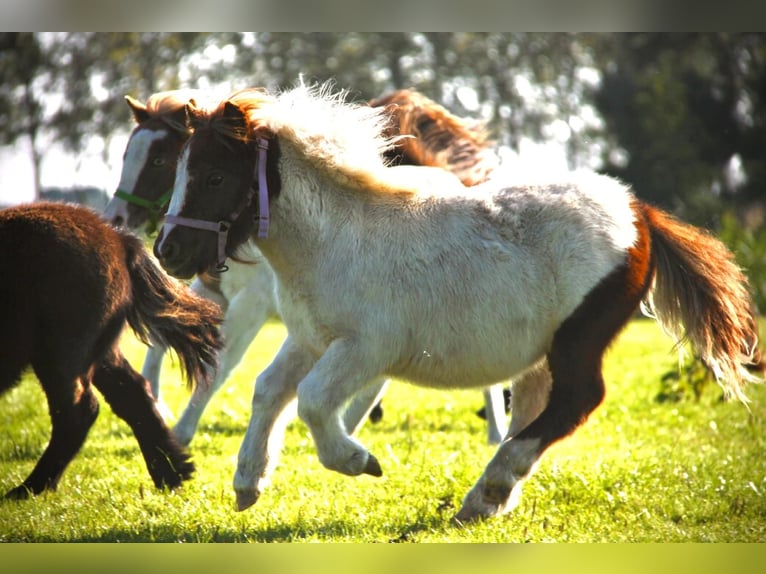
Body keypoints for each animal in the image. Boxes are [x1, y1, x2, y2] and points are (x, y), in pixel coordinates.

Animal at [0, 202, 222, 500]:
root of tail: (116, 237)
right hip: (97, 353)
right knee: (132, 394)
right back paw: (172, 475)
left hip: (61, 353)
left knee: (79, 410)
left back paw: (29, 488)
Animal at [103, 88, 516, 446]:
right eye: (127, 155)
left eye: (160, 159)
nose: (118, 219)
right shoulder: (212, 291)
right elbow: (164, 341)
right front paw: (159, 406)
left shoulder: (252, 304)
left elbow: (219, 366)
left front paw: (182, 433)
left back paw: (494, 431)